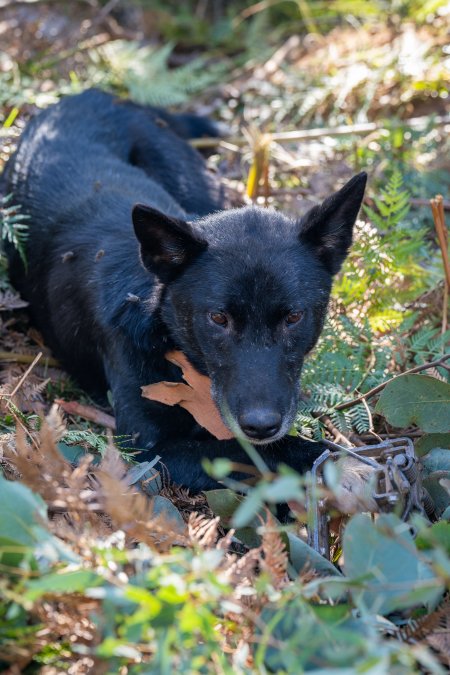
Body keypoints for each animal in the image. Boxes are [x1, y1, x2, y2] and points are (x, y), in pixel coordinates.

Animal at [2, 90, 366, 492]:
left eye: (294, 317)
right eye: (218, 318)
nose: (261, 425)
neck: (161, 326)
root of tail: (93, 95)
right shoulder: (150, 449)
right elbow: (256, 452)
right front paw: (335, 461)